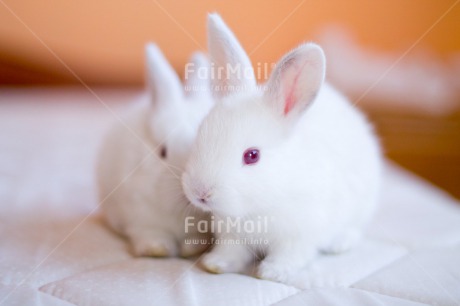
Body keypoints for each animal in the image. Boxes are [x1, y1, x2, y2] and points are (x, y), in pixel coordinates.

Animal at [99, 42, 214, 258]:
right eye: (162, 152)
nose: (189, 193)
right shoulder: (141, 218)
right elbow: (151, 234)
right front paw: (157, 250)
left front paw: (191, 250)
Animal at [181, 13, 382, 286]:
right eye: (200, 133)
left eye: (252, 155)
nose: (200, 193)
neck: (259, 204)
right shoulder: (232, 235)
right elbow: (231, 252)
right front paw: (215, 264)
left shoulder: (298, 236)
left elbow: (290, 256)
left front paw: (271, 273)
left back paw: (340, 243)